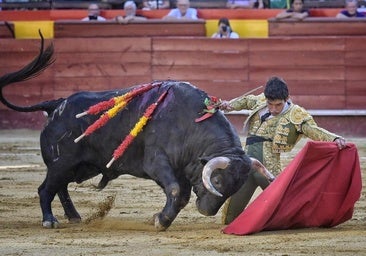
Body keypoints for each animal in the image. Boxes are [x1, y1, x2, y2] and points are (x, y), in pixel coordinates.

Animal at [0, 35, 268, 230]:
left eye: (236, 186)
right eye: (218, 180)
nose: (207, 211)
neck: (190, 123)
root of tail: (56, 105)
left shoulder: (181, 168)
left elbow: (180, 196)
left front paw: (160, 219)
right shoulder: (157, 163)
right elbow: (175, 190)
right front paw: (161, 221)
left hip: (74, 166)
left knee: (61, 188)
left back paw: (74, 216)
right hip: (61, 162)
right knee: (46, 188)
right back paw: (49, 220)